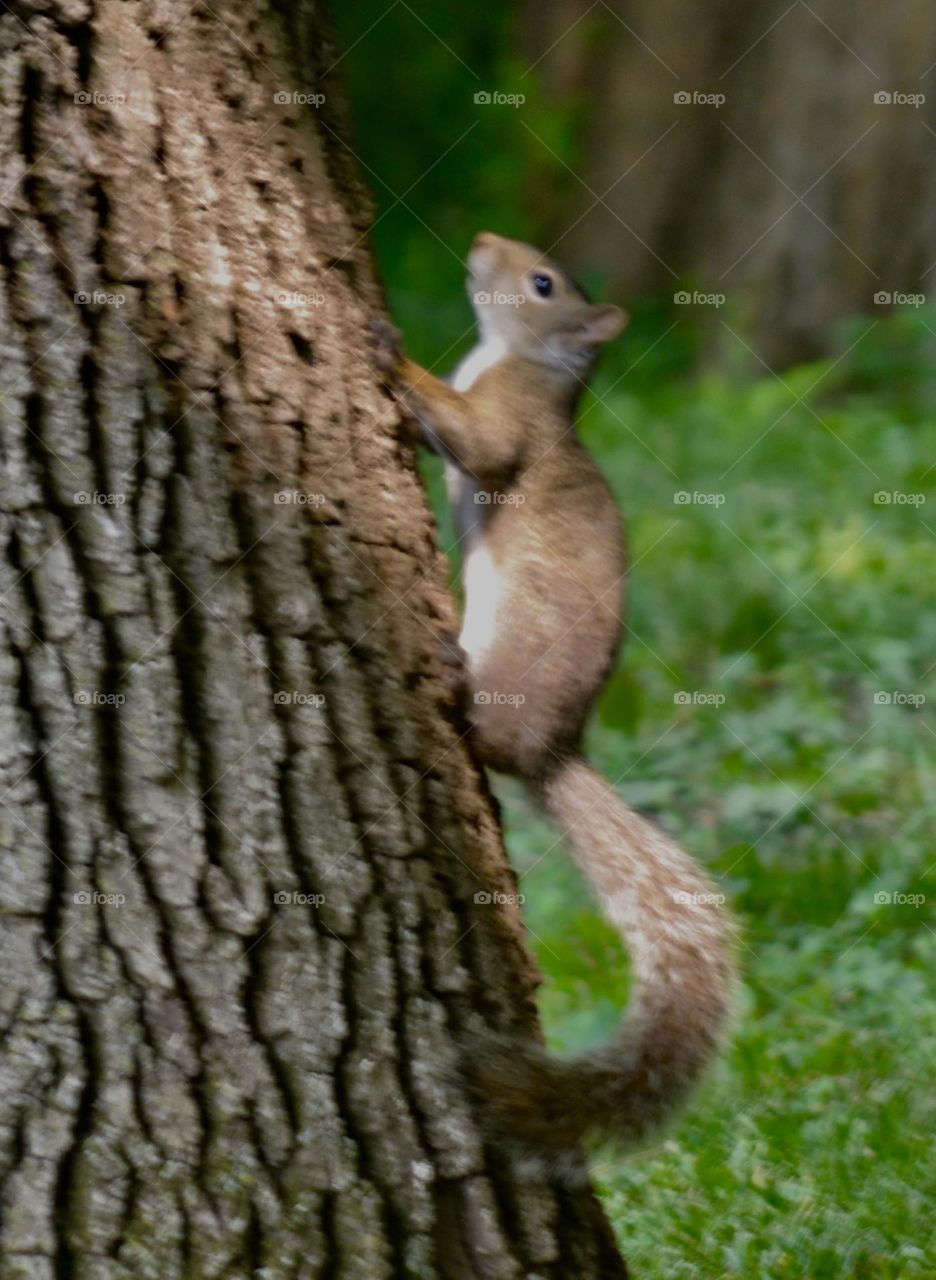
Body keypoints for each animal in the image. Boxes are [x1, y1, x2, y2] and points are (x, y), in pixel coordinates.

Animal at [369, 232, 733, 1164]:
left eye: (542, 284)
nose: (480, 244)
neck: (507, 355)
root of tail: (554, 748)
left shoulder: (511, 418)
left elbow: (482, 443)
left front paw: (394, 352)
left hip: (508, 677)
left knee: (486, 737)